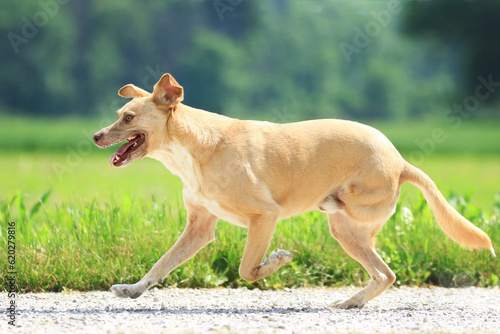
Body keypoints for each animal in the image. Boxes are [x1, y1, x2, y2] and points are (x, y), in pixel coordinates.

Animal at [94, 74, 496, 310]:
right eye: (118, 113)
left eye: (128, 118)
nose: (96, 136)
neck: (195, 150)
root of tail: (400, 161)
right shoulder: (199, 227)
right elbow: (161, 264)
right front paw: (133, 289)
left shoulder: (264, 216)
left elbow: (248, 270)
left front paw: (278, 260)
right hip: (348, 232)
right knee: (386, 275)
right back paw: (351, 302)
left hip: (346, 218)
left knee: (384, 272)